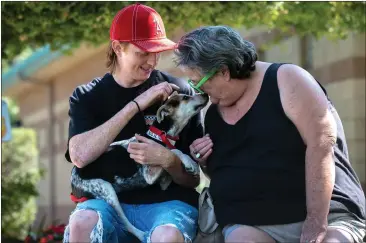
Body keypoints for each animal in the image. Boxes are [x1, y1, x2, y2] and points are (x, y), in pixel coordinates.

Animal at [68, 91, 209, 241]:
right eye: (186, 98)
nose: (206, 94)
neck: (159, 136)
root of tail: (73, 177)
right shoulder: (149, 173)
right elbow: (174, 151)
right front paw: (190, 162)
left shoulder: (163, 181)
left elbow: (170, 156)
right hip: (106, 190)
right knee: (125, 223)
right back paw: (141, 234)